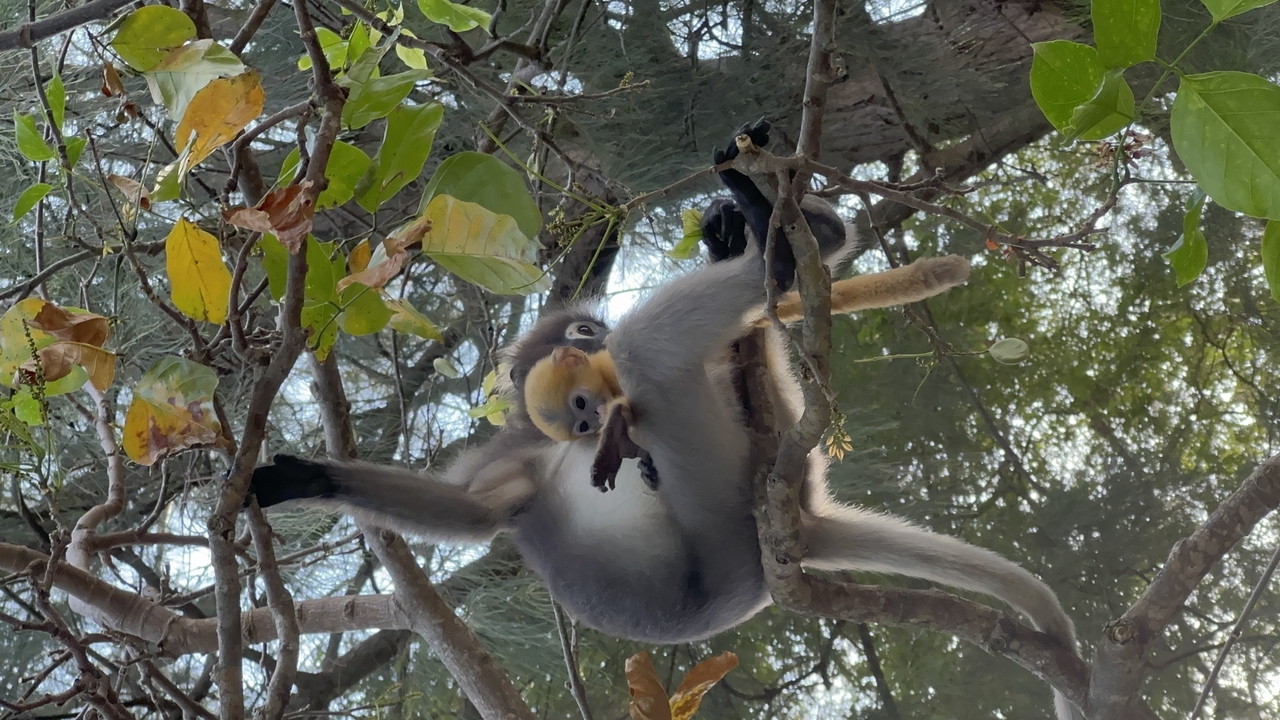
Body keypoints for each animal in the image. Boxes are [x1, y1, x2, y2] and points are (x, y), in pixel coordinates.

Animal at [249, 121, 1082, 720]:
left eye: (585, 335)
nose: (595, 347)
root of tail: (800, 521)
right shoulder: (518, 451)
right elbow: (476, 511)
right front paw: (314, 481)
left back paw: (770, 231)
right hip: (721, 517)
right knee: (656, 352)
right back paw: (781, 250)